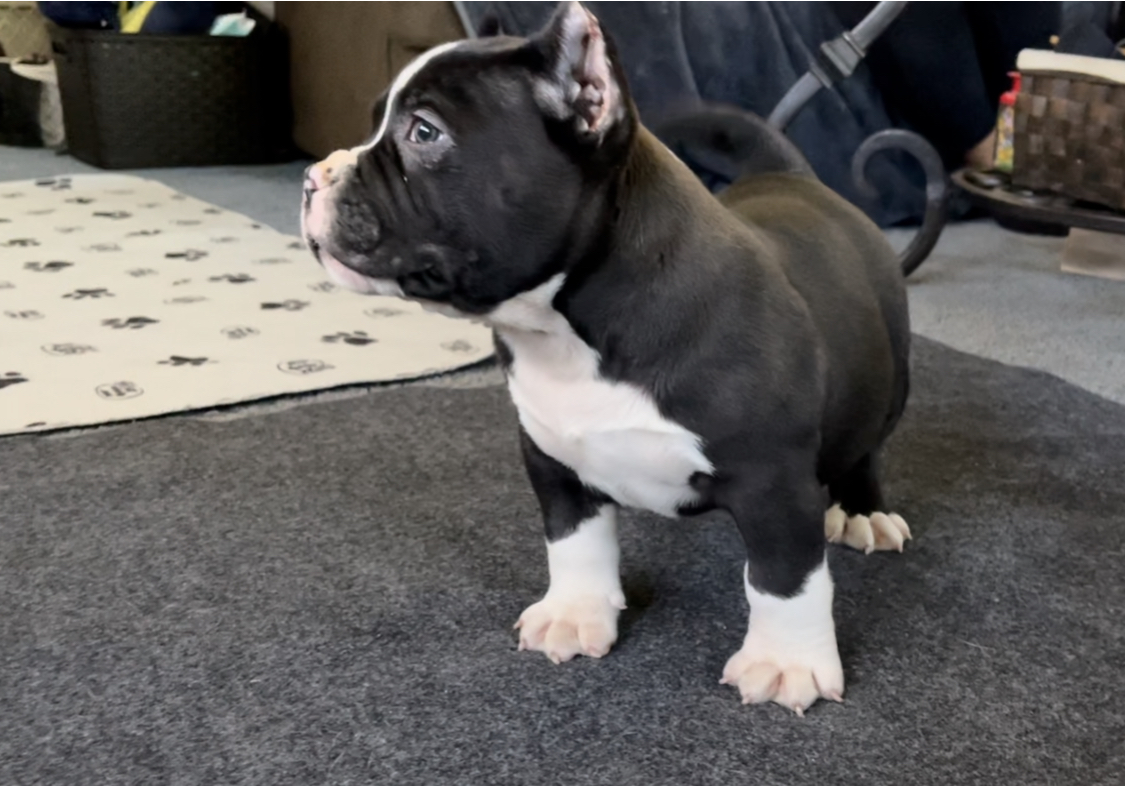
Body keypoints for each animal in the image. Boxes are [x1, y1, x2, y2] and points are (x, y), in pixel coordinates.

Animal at [301, 1, 925, 715]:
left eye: (424, 132)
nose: (312, 177)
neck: (567, 332)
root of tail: (796, 179)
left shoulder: (773, 481)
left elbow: (783, 576)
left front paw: (785, 660)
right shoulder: (551, 455)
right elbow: (574, 541)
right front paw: (574, 614)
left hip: (886, 382)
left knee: (864, 446)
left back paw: (863, 510)